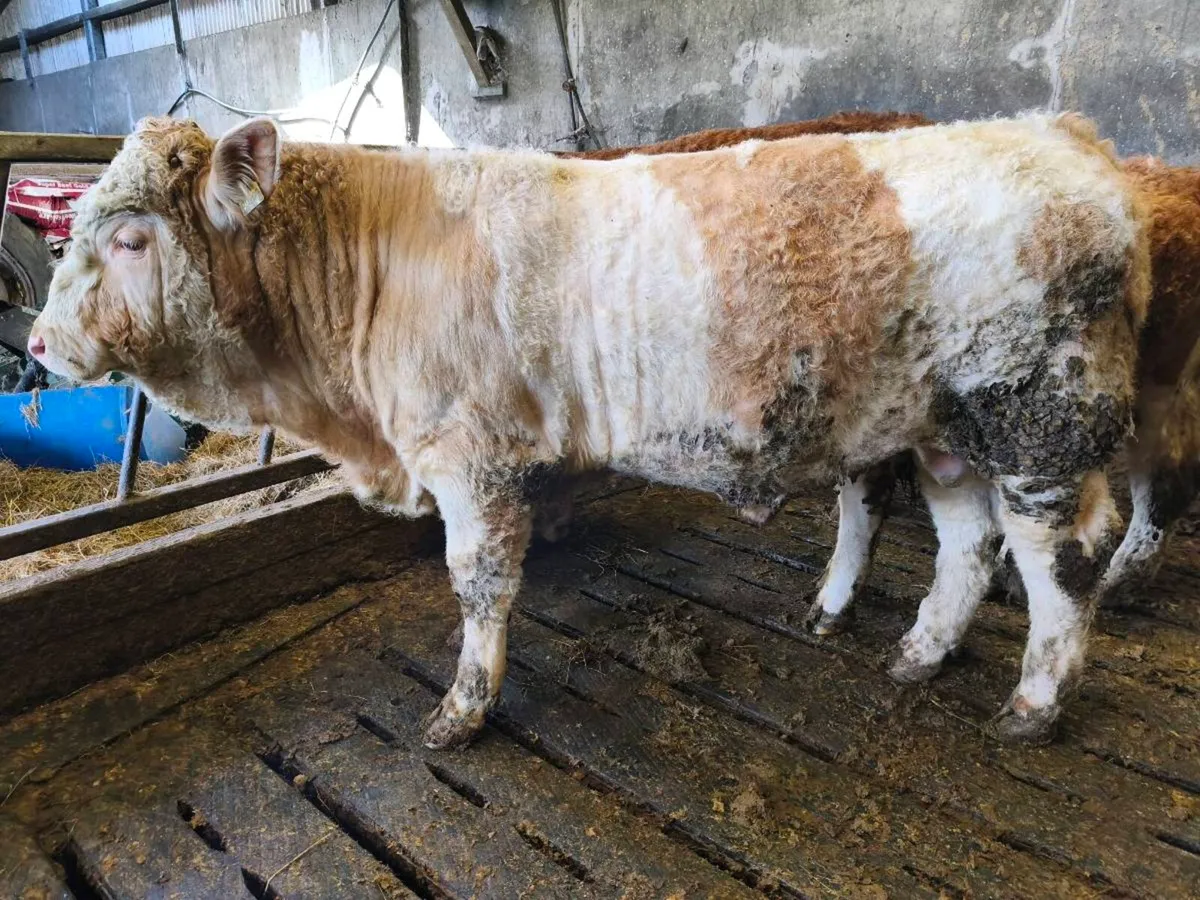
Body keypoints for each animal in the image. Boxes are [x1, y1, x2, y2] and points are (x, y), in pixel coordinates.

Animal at [29, 113, 1148, 749]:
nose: (38, 342)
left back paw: (1034, 707)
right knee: (966, 544)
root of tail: (1067, 137)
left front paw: (462, 710)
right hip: (945, 430)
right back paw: (918, 653)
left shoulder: (469, 459)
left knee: (1061, 562)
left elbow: (480, 584)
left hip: (1041, 423)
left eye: (130, 238)